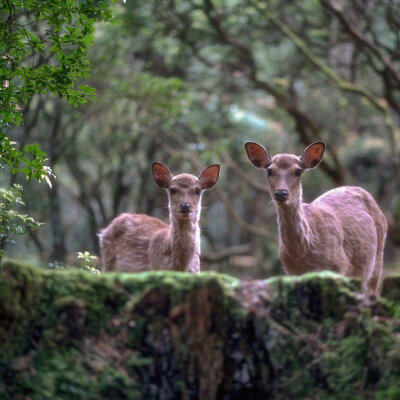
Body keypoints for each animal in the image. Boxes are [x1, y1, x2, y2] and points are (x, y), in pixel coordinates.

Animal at [244, 141, 388, 294]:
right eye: (269, 171)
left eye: (298, 171)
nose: (281, 193)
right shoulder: (292, 272)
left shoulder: (339, 266)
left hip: (377, 260)